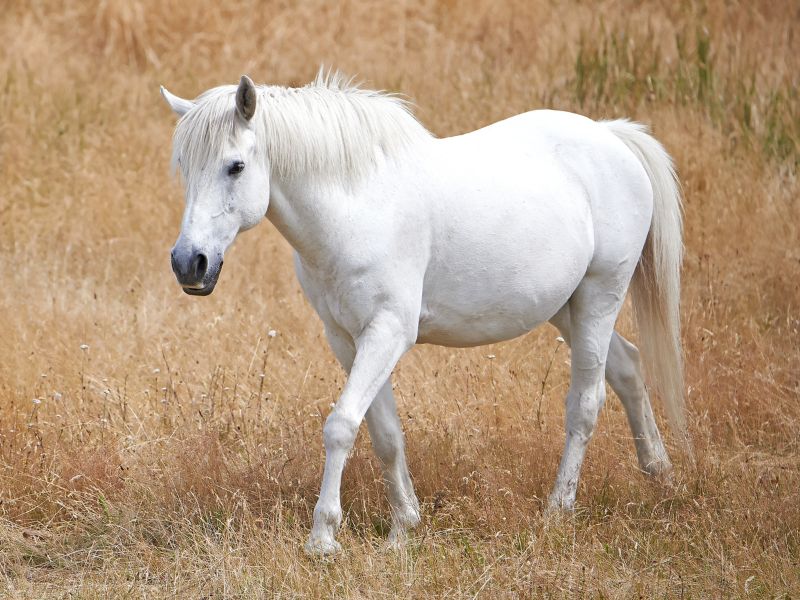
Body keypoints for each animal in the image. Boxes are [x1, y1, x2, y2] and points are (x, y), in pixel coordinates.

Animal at [159, 72, 684, 556]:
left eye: (235, 166)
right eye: (184, 165)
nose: (189, 263)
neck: (357, 209)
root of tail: (612, 137)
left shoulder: (388, 332)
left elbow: (341, 425)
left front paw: (323, 538)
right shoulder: (346, 338)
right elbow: (384, 433)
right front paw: (403, 528)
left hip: (599, 296)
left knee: (586, 403)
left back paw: (559, 507)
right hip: (567, 308)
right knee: (628, 367)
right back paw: (660, 474)